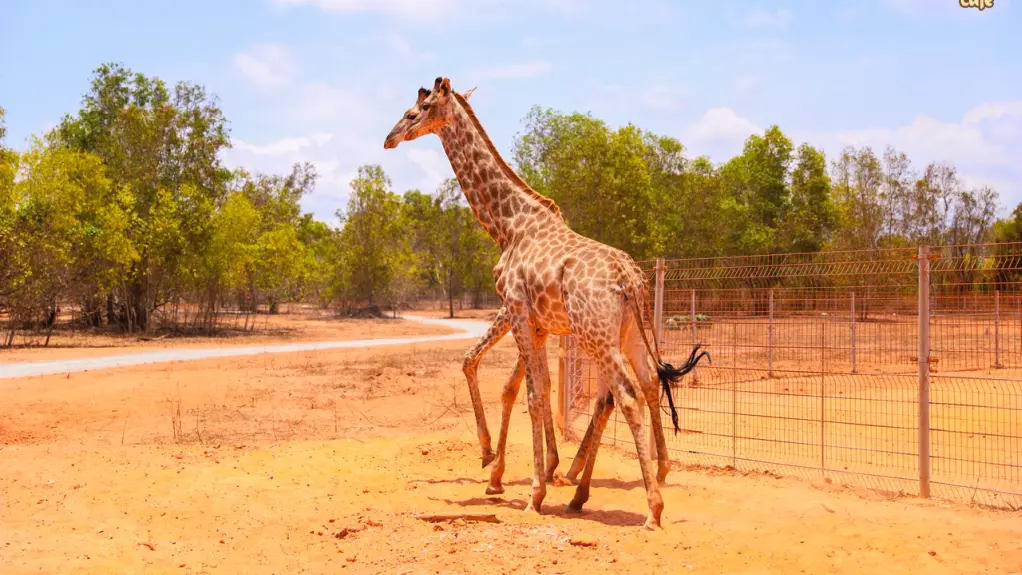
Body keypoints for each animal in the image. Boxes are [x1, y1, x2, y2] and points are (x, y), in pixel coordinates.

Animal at [384, 77, 711, 531]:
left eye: (415, 111)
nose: (389, 138)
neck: (509, 225)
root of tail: (631, 280)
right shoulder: (537, 324)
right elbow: (534, 391)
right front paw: (527, 476)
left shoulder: (517, 311)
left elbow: (529, 394)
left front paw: (525, 486)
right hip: (624, 336)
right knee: (644, 386)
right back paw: (608, 486)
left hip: (596, 337)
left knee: (623, 396)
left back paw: (650, 509)